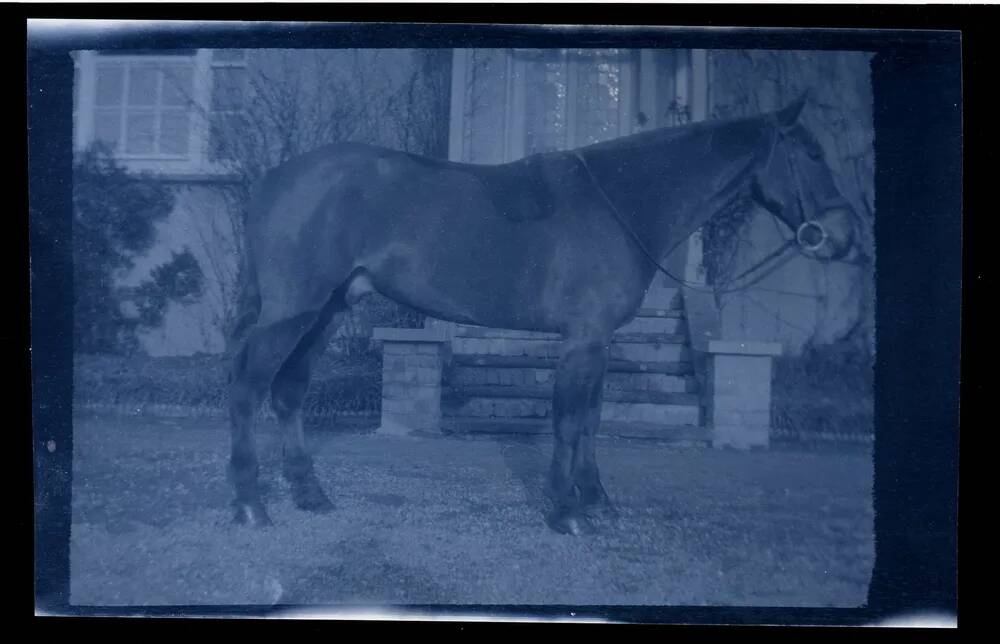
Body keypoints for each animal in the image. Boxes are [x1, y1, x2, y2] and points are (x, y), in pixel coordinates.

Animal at [225, 95, 860, 536]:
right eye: (811, 153)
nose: (844, 236)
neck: (623, 203)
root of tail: (274, 177)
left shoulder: (599, 341)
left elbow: (592, 420)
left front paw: (598, 501)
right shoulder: (582, 338)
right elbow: (569, 420)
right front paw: (567, 511)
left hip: (327, 312)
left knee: (289, 391)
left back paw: (309, 494)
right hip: (293, 310)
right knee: (249, 389)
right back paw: (250, 504)